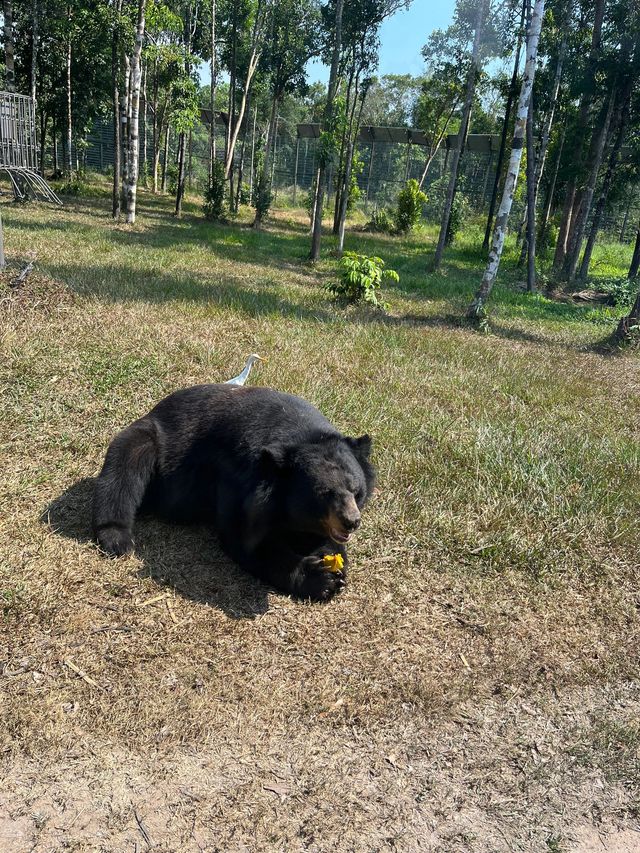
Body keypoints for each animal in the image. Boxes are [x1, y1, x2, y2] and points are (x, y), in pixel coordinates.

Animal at [94, 382, 376, 604]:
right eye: (324, 493)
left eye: (356, 491)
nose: (351, 521)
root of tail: (154, 408)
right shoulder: (238, 481)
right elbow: (246, 539)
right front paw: (321, 580)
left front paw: (335, 567)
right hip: (150, 443)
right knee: (123, 471)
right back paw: (117, 539)